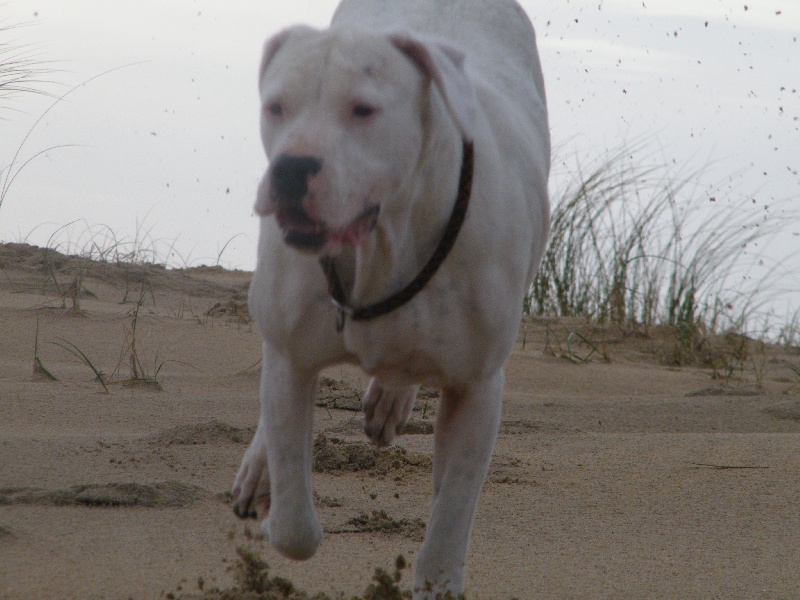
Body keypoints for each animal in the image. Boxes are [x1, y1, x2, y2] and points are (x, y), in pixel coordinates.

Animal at [228, 0, 548, 592]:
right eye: (276, 107)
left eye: (363, 110)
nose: (289, 168)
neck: (386, 243)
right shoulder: (292, 356)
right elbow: (294, 528)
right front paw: (281, 502)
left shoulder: (477, 390)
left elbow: (448, 525)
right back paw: (261, 472)